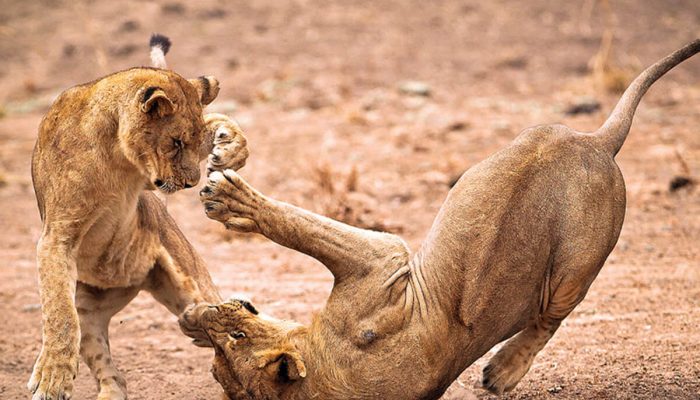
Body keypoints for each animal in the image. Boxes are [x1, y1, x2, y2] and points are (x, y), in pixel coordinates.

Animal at [28, 35, 250, 400]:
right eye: (175, 142)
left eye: (190, 143)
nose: (191, 183)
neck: (116, 155)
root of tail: (128, 282)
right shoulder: (57, 237)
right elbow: (59, 313)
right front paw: (53, 379)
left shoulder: (149, 181)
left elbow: (219, 118)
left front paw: (229, 149)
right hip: (90, 311)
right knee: (113, 373)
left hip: (190, 282)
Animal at [183, 39, 696, 398]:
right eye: (217, 361)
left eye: (235, 336)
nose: (213, 311)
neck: (323, 378)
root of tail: (596, 142)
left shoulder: (381, 262)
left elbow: (295, 223)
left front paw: (227, 198)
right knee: (548, 314)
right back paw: (502, 372)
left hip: (573, 251)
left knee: (552, 314)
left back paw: (501, 372)